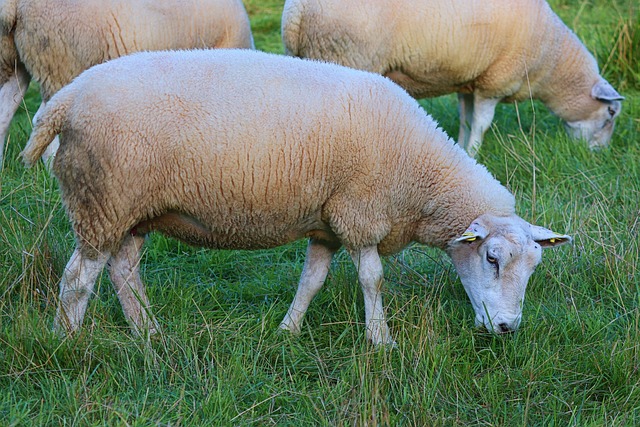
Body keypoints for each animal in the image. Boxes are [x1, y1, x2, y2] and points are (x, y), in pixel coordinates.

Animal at [21, 49, 568, 344]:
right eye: (492, 258)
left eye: (533, 268)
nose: (508, 328)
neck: (420, 175)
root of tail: (63, 101)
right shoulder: (358, 213)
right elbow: (372, 278)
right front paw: (380, 340)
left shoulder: (326, 222)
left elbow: (312, 281)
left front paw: (288, 330)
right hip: (101, 201)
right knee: (78, 278)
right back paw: (69, 342)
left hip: (134, 210)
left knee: (123, 272)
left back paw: (149, 335)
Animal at [282, 0, 624, 157]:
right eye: (610, 112)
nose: (600, 155)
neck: (550, 59)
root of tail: (297, 12)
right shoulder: (493, 82)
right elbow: (482, 124)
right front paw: (474, 153)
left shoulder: (469, 83)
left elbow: (465, 120)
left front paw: (462, 148)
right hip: (343, 56)